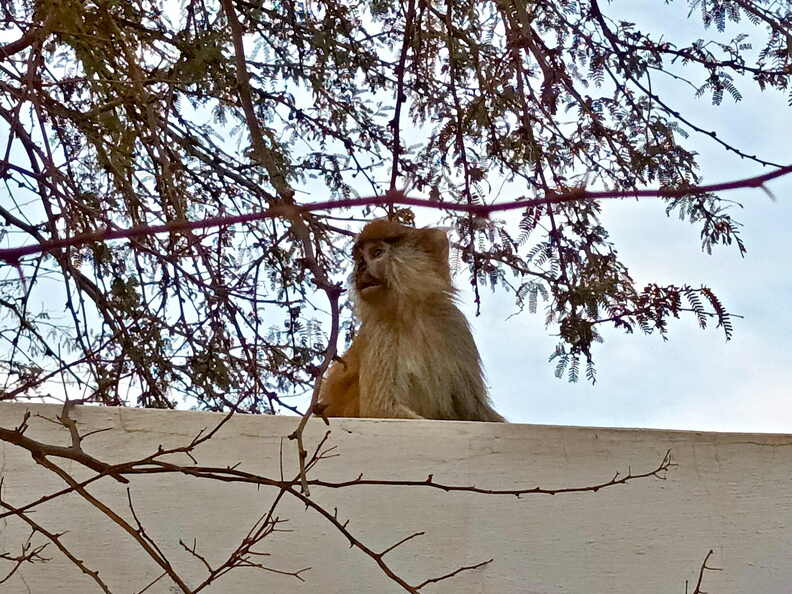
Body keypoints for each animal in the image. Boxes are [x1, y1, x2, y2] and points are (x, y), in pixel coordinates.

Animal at [318, 219, 505, 422]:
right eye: (360, 259)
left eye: (376, 253)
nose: (360, 268)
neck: (414, 313)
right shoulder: (381, 329)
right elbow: (380, 409)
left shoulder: (453, 321)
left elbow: (473, 410)